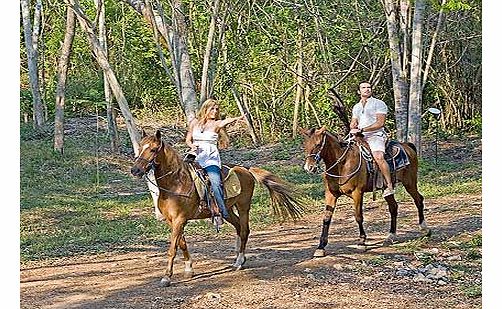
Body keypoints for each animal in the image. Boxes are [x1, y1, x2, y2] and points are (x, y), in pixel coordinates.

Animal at [130, 129, 302, 286]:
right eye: (140, 148)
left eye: (153, 149)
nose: (135, 170)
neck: (176, 183)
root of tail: (245, 169)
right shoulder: (172, 221)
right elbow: (182, 243)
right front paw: (189, 269)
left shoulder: (180, 220)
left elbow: (173, 248)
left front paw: (166, 277)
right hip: (226, 210)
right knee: (239, 227)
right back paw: (239, 258)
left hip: (243, 206)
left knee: (244, 230)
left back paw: (239, 261)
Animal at [302, 126, 432, 256]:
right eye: (305, 145)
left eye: (318, 144)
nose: (309, 168)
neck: (342, 164)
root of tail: (407, 146)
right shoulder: (331, 194)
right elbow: (326, 218)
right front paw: (321, 247)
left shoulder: (357, 193)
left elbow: (358, 216)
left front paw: (361, 242)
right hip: (387, 189)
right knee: (394, 207)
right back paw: (391, 236)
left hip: (409, 183)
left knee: (418, 200)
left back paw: (424, 229)